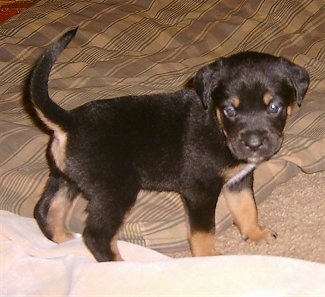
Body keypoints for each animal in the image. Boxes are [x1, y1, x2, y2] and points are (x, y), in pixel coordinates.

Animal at [27, 27, 308, 260]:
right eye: (229, 110)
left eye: (274, 107)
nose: (253, 144)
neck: (217, 126)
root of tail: (69, 121)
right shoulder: (200, 190)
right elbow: (203, 232)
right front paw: (209, 260)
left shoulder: (238, 181)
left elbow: (247, 208)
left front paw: (256, 234)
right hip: (115, 190)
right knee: (96, 236)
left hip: (66, 178)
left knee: (46, 210)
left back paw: (65, 241)